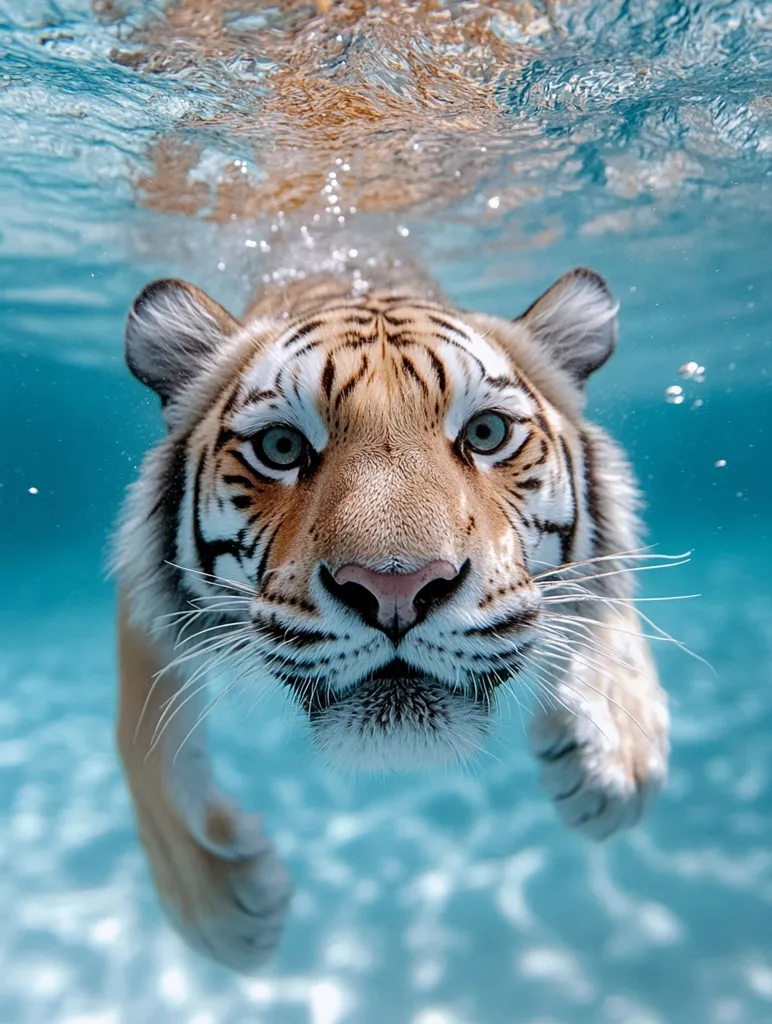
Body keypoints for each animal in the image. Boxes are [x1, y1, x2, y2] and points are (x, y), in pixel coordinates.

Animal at [114, 266, 669, 973]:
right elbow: (143, 745)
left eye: (486, 434)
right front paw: (222, 910)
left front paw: (614, 755)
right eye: (280, 446)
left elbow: (606, 595)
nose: (396, 586)